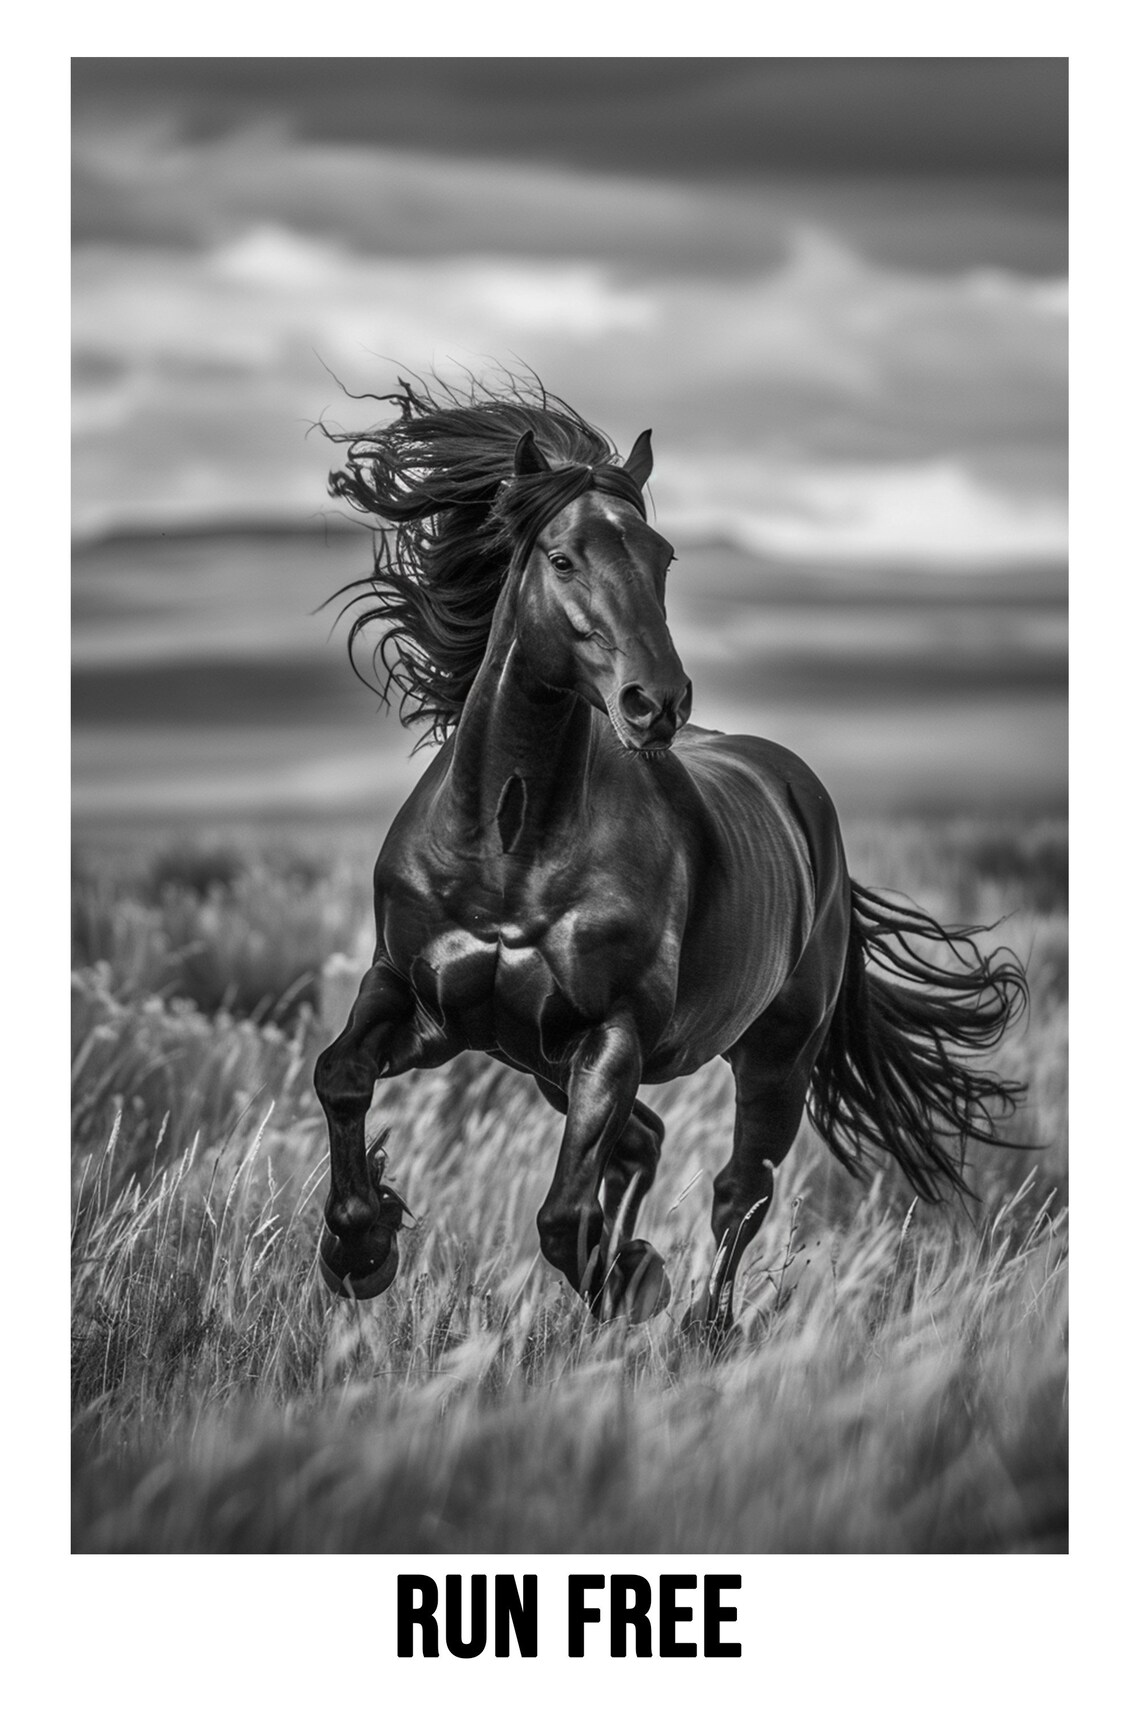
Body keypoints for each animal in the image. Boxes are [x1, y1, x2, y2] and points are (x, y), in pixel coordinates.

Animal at [314, 375, 1027, 1335]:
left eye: (663, 559)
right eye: (561, 559)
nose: (656, 703)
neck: (508, 846)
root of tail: (804, 800)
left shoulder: (610, 1034)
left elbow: (563, 1215)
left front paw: (628, 1280)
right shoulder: (414, 997)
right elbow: (341, 1075)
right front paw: (359, 1247)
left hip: (773, 1058)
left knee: (739, 1190)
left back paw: (704, 1323)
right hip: (546, 1064)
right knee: (646, 1147)